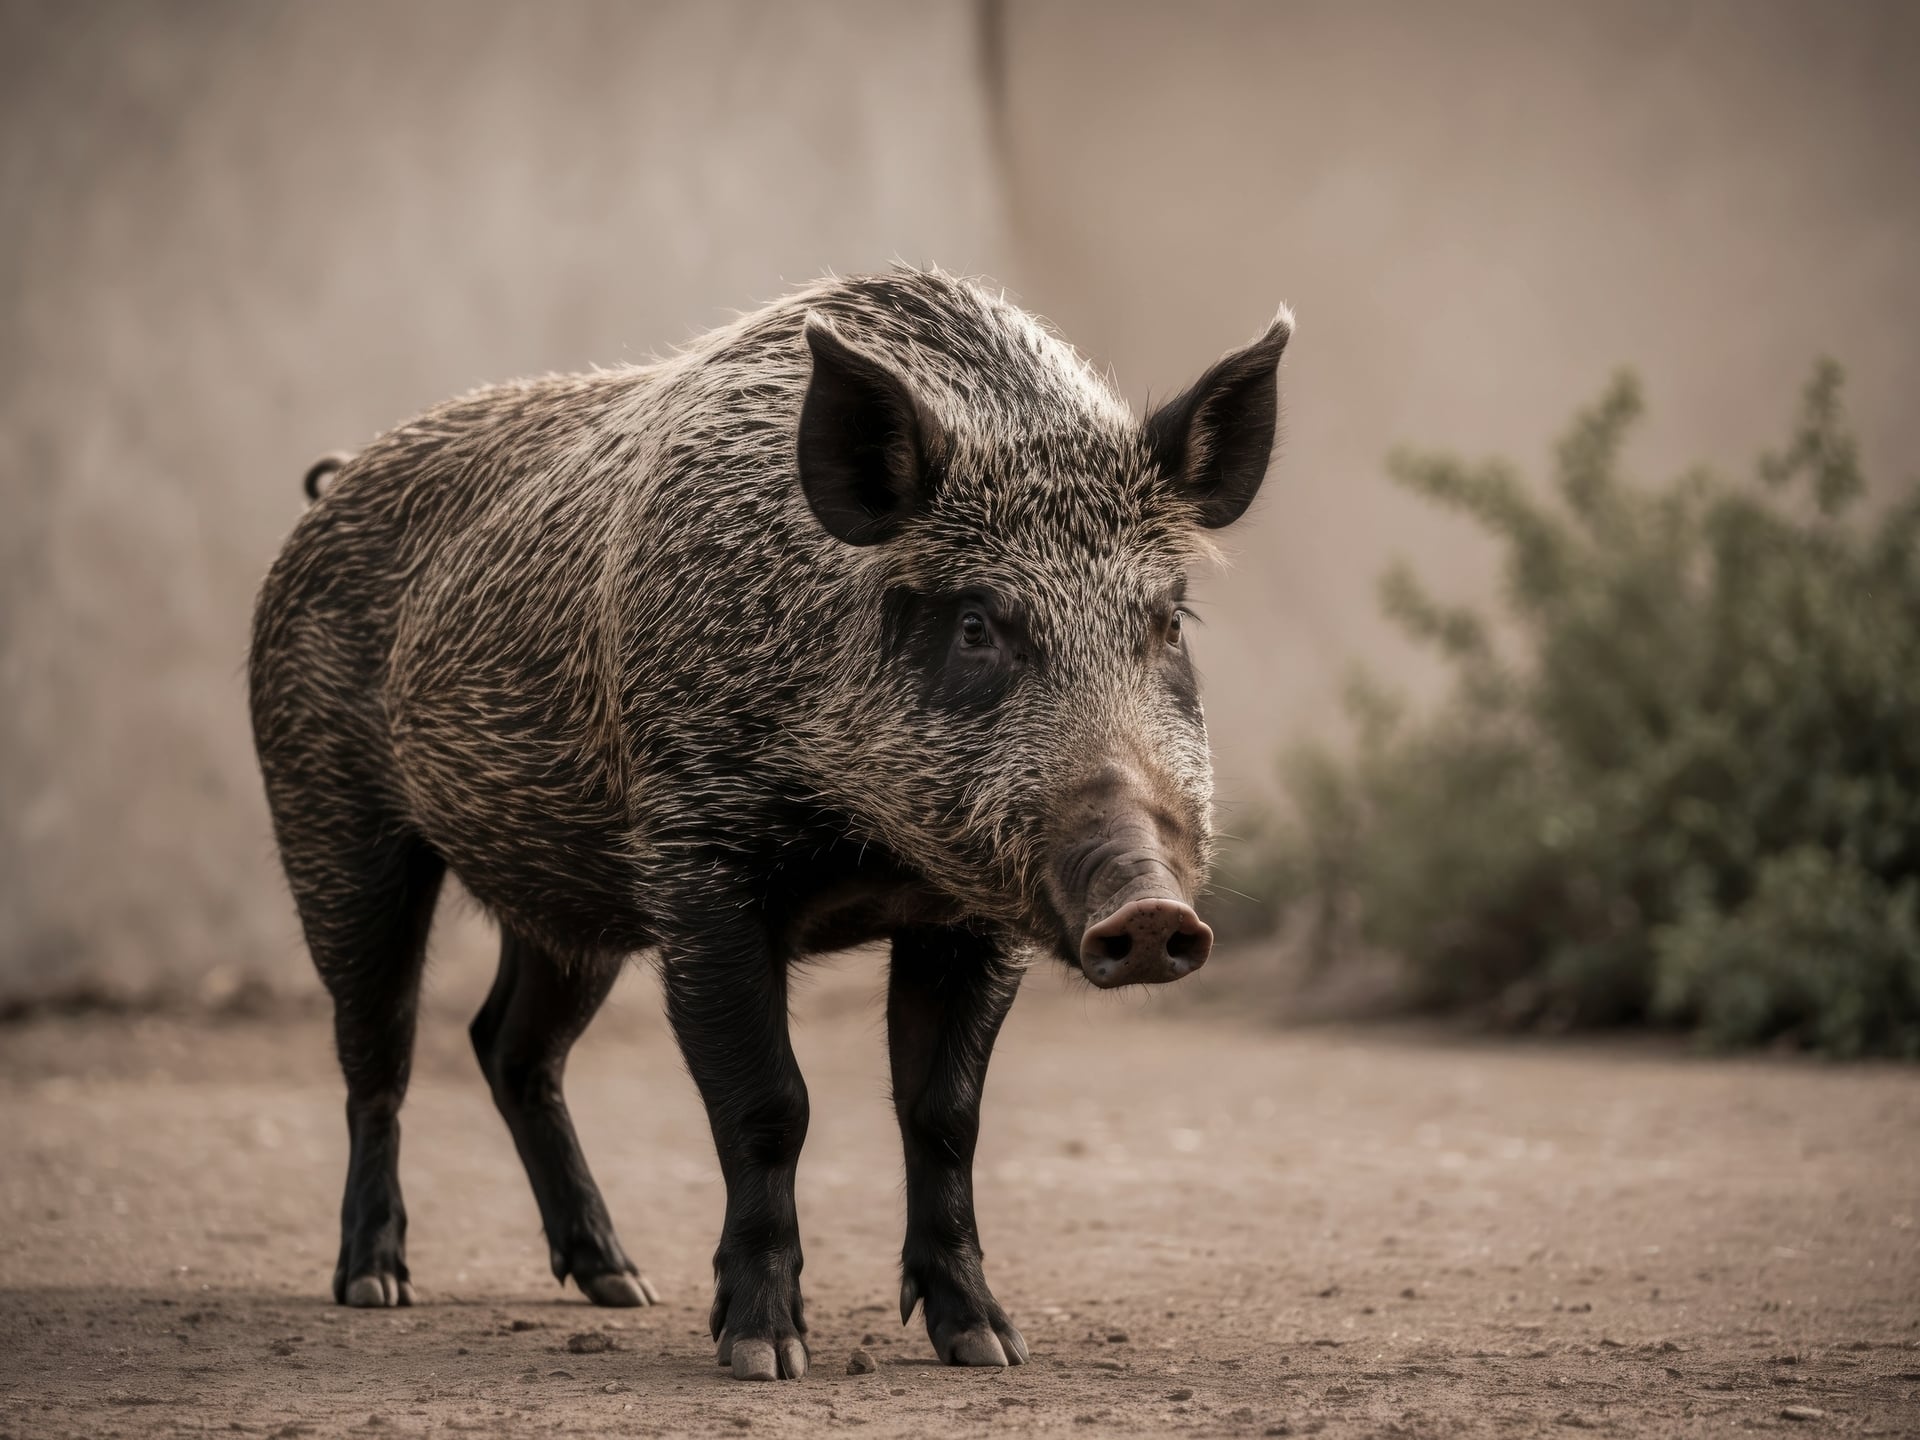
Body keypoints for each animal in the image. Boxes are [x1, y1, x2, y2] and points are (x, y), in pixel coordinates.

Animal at [249, 269, 1291, 1380]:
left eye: (1169, 623)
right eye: (975, 624)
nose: (1149, 914)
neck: (871, 841)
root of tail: (329, 488)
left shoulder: (967, 918)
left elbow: (944, 1113)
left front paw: (987, 1345)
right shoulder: (698, 868)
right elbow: (768, 1103)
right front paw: (764, 1354)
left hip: (568, 902)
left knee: (509, 1048)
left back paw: (620, 1284)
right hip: (329, 821)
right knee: (380, 1052)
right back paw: (375, 1284)